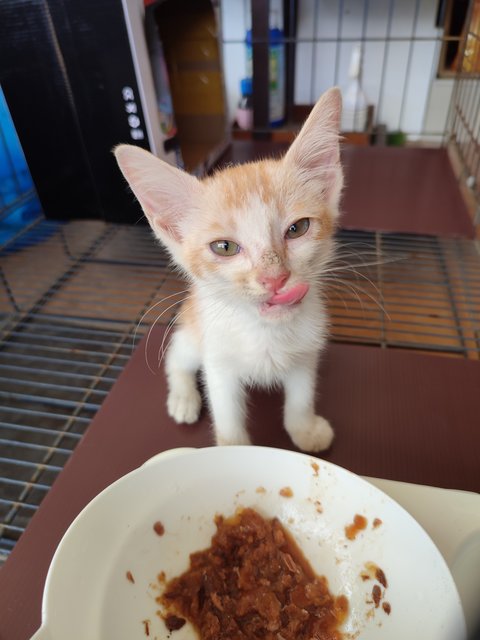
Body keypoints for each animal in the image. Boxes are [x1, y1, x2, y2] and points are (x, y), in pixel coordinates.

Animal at [115, 87, 344, 452]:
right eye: (224, 247)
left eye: (298, 229)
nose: (274, 278)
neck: (265, 331)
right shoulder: (218, 364)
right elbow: (227, 415)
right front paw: (231, 450)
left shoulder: (306, 353)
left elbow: (301, 396)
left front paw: (305, 429)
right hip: (193, 335)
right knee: (175, 357)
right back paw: (183, 398)